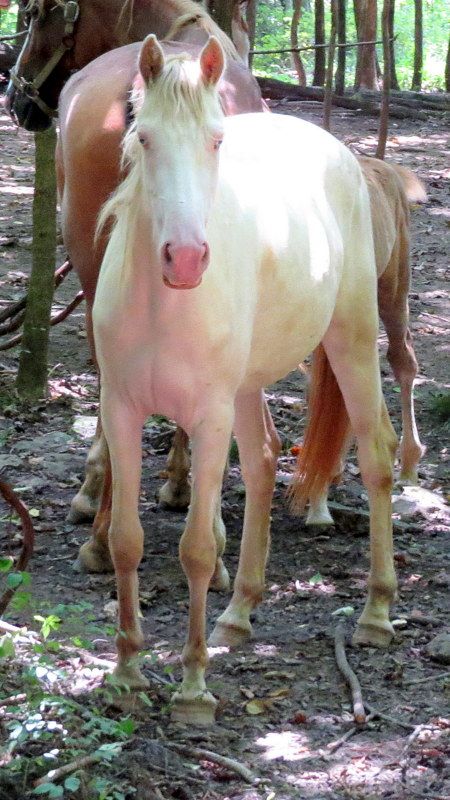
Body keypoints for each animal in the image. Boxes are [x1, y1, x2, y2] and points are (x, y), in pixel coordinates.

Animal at [88, 33, 398, 724]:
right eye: (143, 138)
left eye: (215, 140)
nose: (185, 259)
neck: (164, 306)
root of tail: (342, 154)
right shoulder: (121, 411)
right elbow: (125, 541)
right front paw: (127, 673)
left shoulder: (207, 420)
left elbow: (198, 549)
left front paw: (192, 689)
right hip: (248, 384)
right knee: (261, 461)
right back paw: (238, 614)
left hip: (352, 340)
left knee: (377, 458)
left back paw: (376, 613)